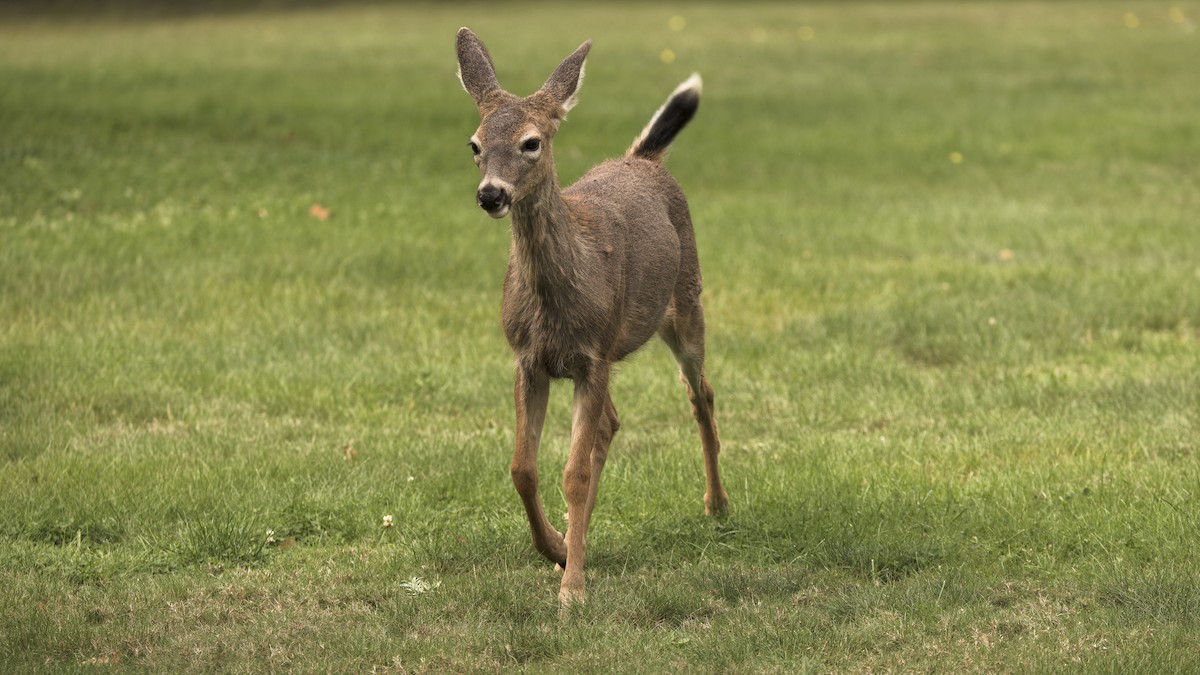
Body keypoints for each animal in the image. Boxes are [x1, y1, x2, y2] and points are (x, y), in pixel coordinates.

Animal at [455, 27, 727, 608]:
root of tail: (642, 157)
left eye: (531, 142)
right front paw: (558, 549)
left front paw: (573, 589)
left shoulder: (593, 355)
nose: (491, 194)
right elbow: (523, 468)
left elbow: (574, 473)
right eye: (474, 144)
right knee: (612, 422)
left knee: (700, 393)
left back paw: (716, 503)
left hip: (686, 304)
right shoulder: (529, 358)